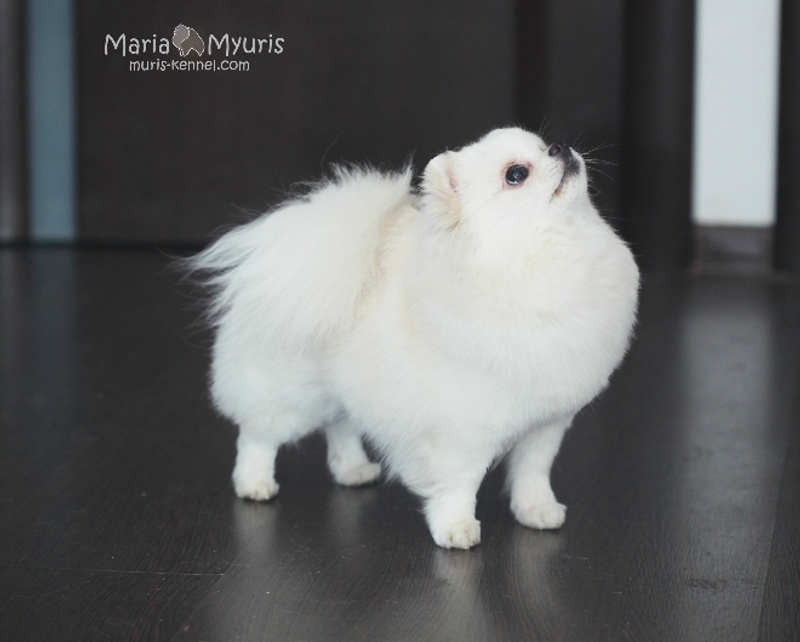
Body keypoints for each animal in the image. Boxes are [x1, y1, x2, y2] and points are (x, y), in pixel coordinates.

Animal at [190, 127, 639, 549]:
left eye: (545, 144)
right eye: (516, 174)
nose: (560, 147)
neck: (539, 260)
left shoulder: (545, 423)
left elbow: (533, 471)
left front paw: (537, 510)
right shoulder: (459, 434)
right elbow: (460, 485)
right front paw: (456, 529)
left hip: (343, 389)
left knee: (340, 426)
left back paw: (353, 469)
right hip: (289, 396)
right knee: (258, 435)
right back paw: (254, 483)